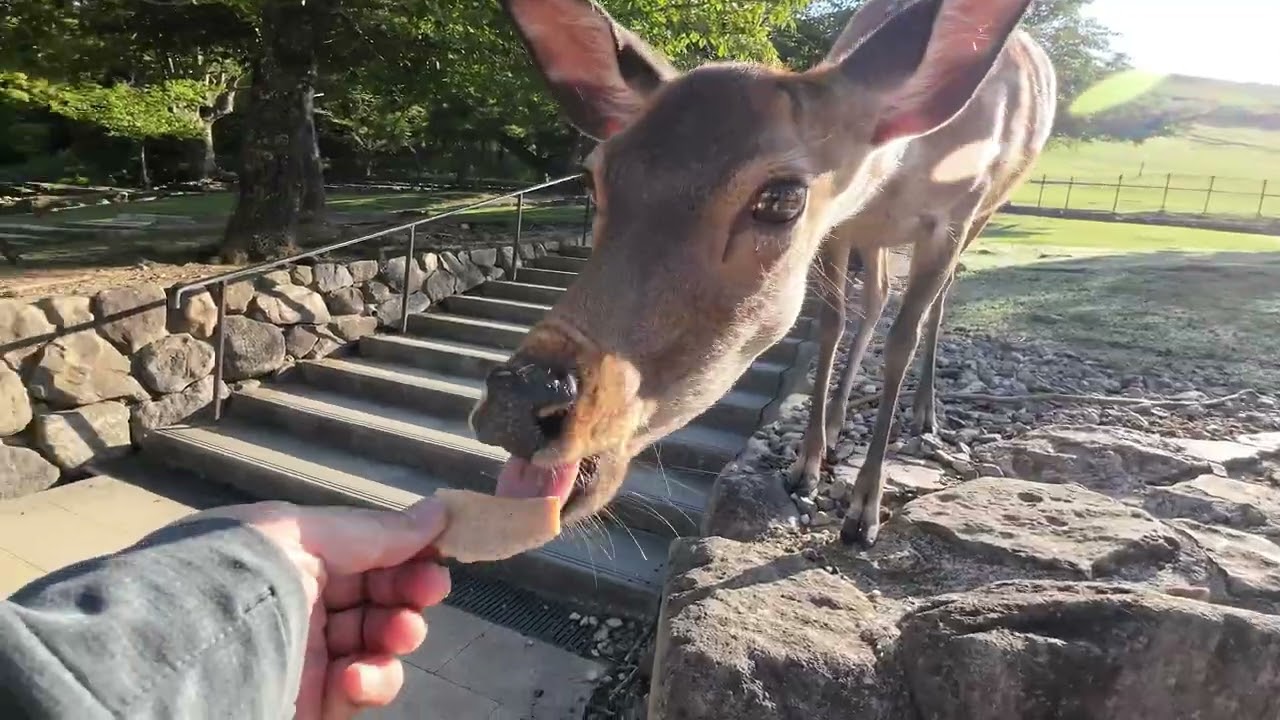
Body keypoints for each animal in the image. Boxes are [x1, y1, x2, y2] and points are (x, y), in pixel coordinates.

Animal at [469, 0, 1056, 548]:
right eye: (594, 178)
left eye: (781, 199)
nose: (516, 402)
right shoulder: (843, 227)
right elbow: (831, 326)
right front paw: (805, 468)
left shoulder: (952, 218)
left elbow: (901, 342)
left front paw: (863, 512)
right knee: (874, 300)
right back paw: (837, 422)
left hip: (985, 214)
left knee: (936, 304)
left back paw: (924, 415)